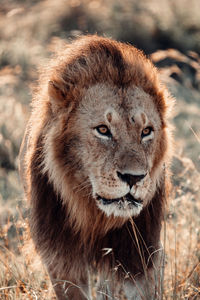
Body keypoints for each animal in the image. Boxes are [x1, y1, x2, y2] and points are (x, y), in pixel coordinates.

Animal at [19, 34, 174, 298]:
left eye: (146, 132)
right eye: (103, 129)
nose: (134, 178)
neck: (95, 216)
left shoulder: (139, 253)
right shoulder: (62, 259)